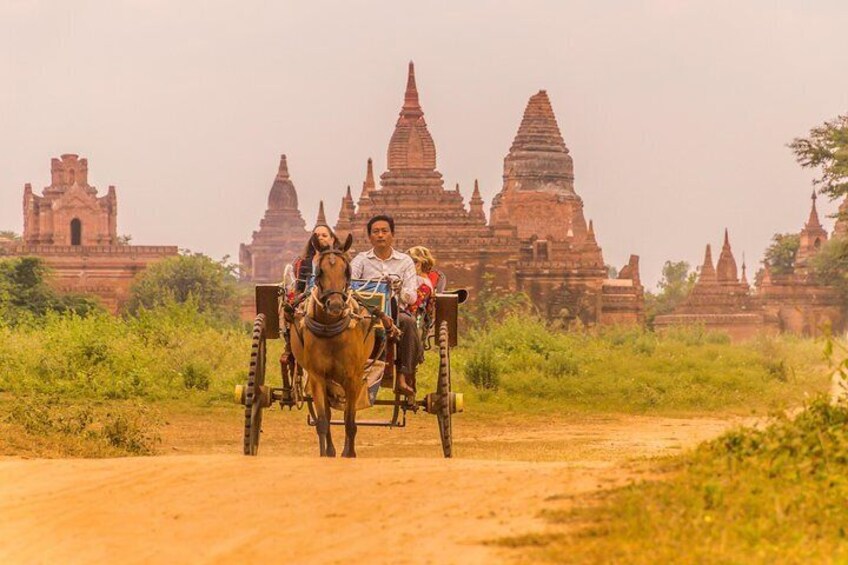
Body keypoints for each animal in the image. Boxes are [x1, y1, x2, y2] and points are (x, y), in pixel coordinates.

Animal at [288, 231, 378, 456]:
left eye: (347, 271)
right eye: (319, 271)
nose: (336, 305)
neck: (330, 329)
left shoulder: (353, 376)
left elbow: (350, 421)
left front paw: (349, 453)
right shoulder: (317, 376)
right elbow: (323, 420)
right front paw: (326, 453)